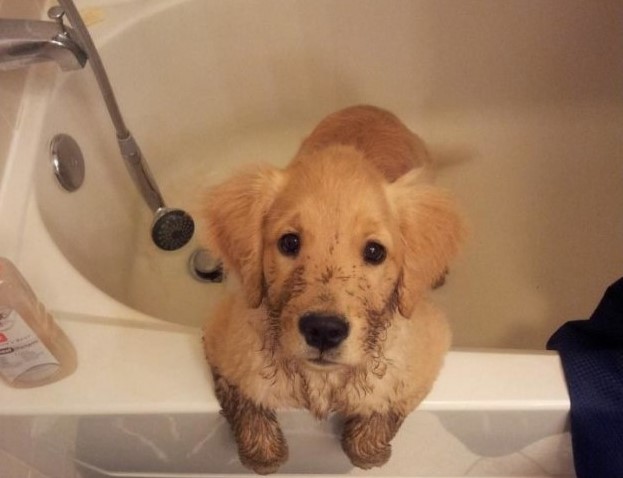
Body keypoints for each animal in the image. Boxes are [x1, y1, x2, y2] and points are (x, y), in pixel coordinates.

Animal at [200, 105, 464, 474]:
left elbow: (376, 419)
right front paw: (265, 456)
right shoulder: (223, 340)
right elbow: (250, 409)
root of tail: (371, 108)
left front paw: (369, 449)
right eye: (289, 242)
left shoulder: (425, 351)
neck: (321, 379)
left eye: (374, 251)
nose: (323, 330)